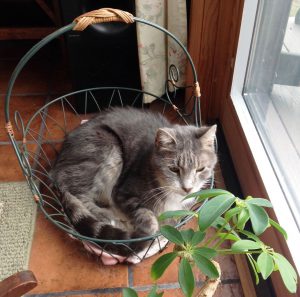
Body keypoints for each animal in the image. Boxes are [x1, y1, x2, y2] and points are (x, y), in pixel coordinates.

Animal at [49, 107, 218, 260]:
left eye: (200, 169)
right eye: (174, 169)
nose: (187, 188)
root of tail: (56, 170)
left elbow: (171, 221)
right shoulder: (122, 192)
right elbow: (146, 215)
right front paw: (150, 230)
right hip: (105, 150)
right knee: (81, 196)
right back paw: (110, 217)